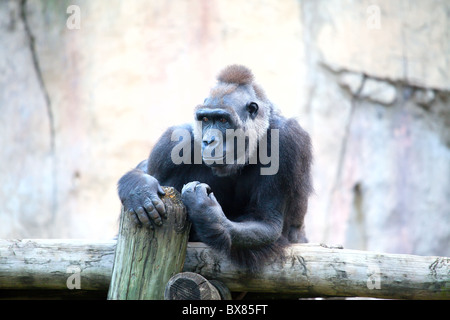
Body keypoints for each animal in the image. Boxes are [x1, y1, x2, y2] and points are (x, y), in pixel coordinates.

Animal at [118, 66, 312, 272]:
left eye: (222, 120)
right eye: (205, 119)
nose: (208, 140)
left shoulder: (286, 140)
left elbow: (267, 222)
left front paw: (209, 216)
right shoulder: (171, 142)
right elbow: (147, 170)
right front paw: (140, 187)